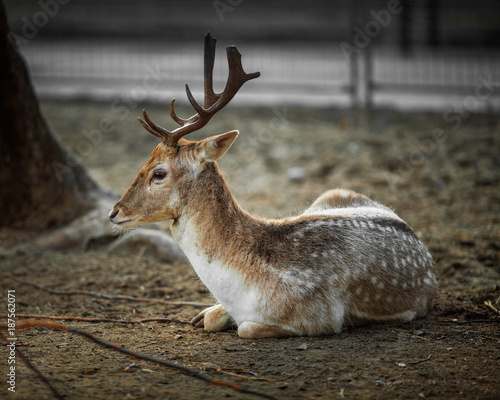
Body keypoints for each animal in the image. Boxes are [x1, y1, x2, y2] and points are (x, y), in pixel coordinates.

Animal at [108, 33, 434, 338]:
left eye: (158, 173)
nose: (114, 211)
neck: (241, 289)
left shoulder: (322, 316)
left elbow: (246, 328)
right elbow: (214, 320)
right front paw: (207, 313)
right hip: (331, 192)